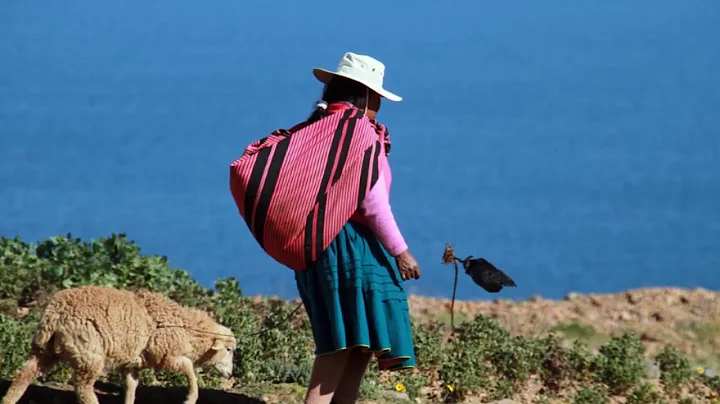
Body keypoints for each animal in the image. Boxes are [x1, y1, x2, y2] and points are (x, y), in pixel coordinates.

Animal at [0, 284, 236, 404]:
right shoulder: (165, 355)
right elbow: (188, 368)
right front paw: (191, 397)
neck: (186, 328)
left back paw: (9, 400)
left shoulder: (132, 362)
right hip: (89, 353)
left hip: (45, 349)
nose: (230, 373)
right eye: (229, 349)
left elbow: (131, 386)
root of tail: (54, 313)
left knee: (25, 373)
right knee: (83, 387)